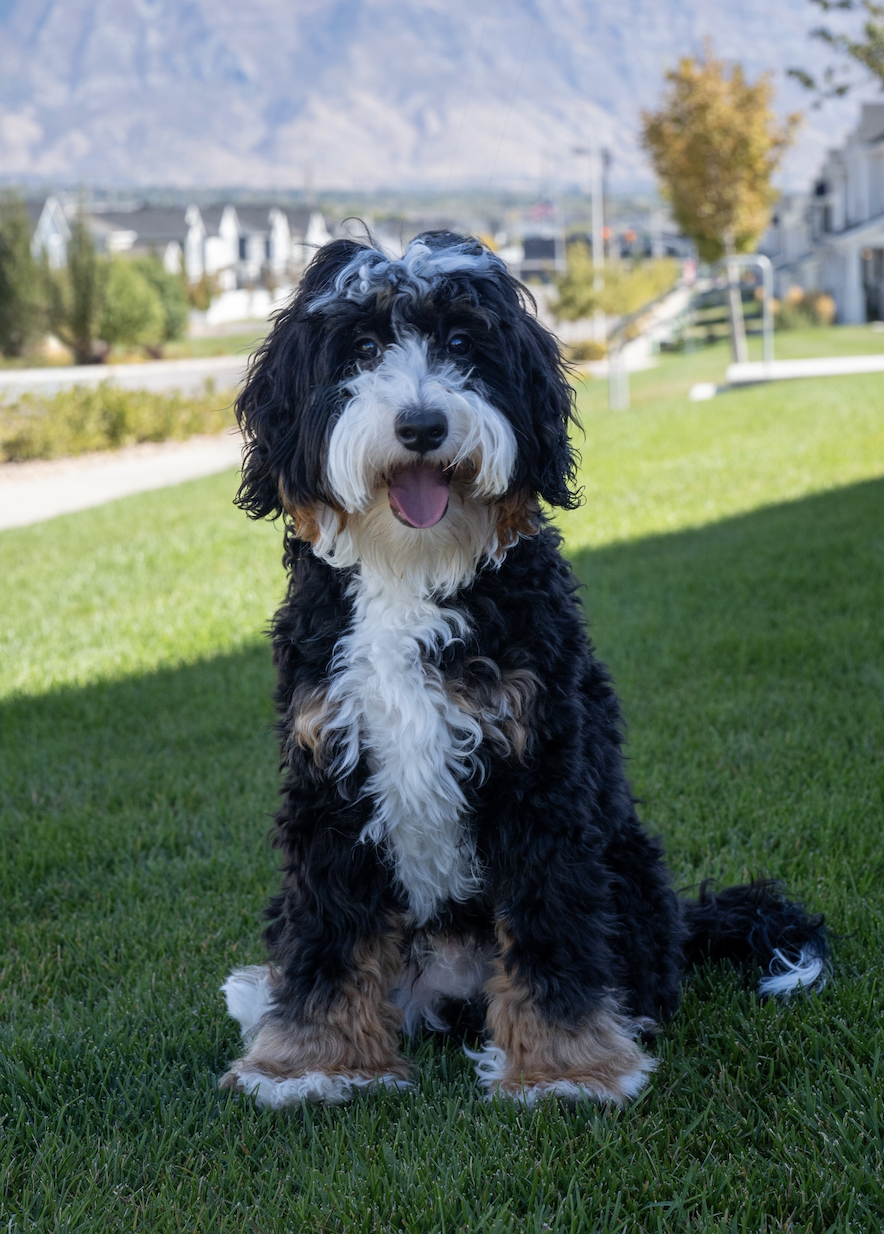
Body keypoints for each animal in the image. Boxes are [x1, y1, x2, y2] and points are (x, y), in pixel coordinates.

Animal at [219, 231, 828, 1109]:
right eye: (362, 348)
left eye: (462, 344)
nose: (422, 424)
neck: (411, 573)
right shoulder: (327, 772)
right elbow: (328, 931)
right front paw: (309, 1059)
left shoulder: (538, 771)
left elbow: (551, 929)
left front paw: (566, 1067)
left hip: (628, 868)